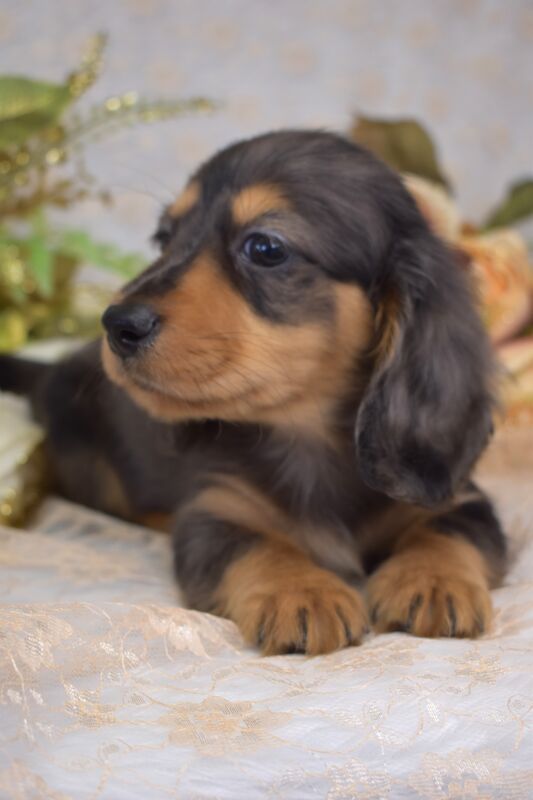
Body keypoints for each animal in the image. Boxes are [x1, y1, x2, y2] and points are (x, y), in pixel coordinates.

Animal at [0, 131, 504, 656]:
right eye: (164, 238)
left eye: (265, 247)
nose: (117, 324)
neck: (309, 438)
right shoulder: (217, 508)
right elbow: (256, 544)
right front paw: (302, 591)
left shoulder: (457, 497)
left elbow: (448, 529)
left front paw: (432, 579)